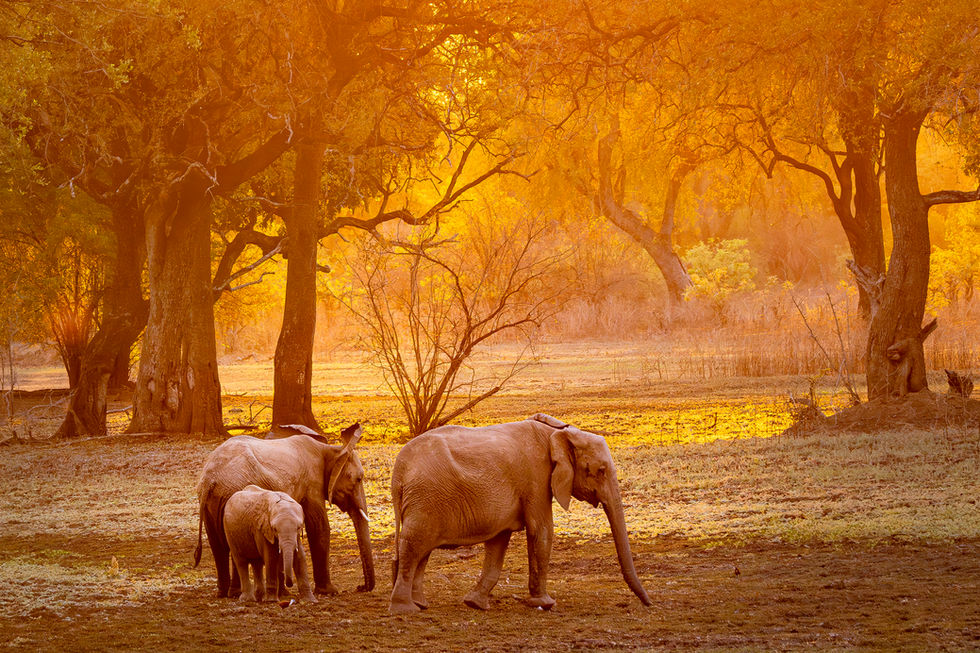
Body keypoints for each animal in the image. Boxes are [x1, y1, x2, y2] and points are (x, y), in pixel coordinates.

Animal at [194, 422, 375, 598]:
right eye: (359, 479)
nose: (360, 587)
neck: (331, 449)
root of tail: (210, 479)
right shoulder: (312, 483)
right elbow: (319, 527)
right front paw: (329, 591)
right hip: (230, 493)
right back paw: (236, 593)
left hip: (211, 503)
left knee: (219, 545)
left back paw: (225, 593)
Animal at [389, 413, 653, 614]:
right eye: (600, 470)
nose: (649, 604)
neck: (559, 433)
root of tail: (399, 471)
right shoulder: (537, 477)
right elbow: (542, 530)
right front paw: (545, 604)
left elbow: (498, 542)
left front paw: (475, 604)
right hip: (425, 498)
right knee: (414, 546)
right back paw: (406, 609)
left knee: (421, 551)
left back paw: (421, 605)